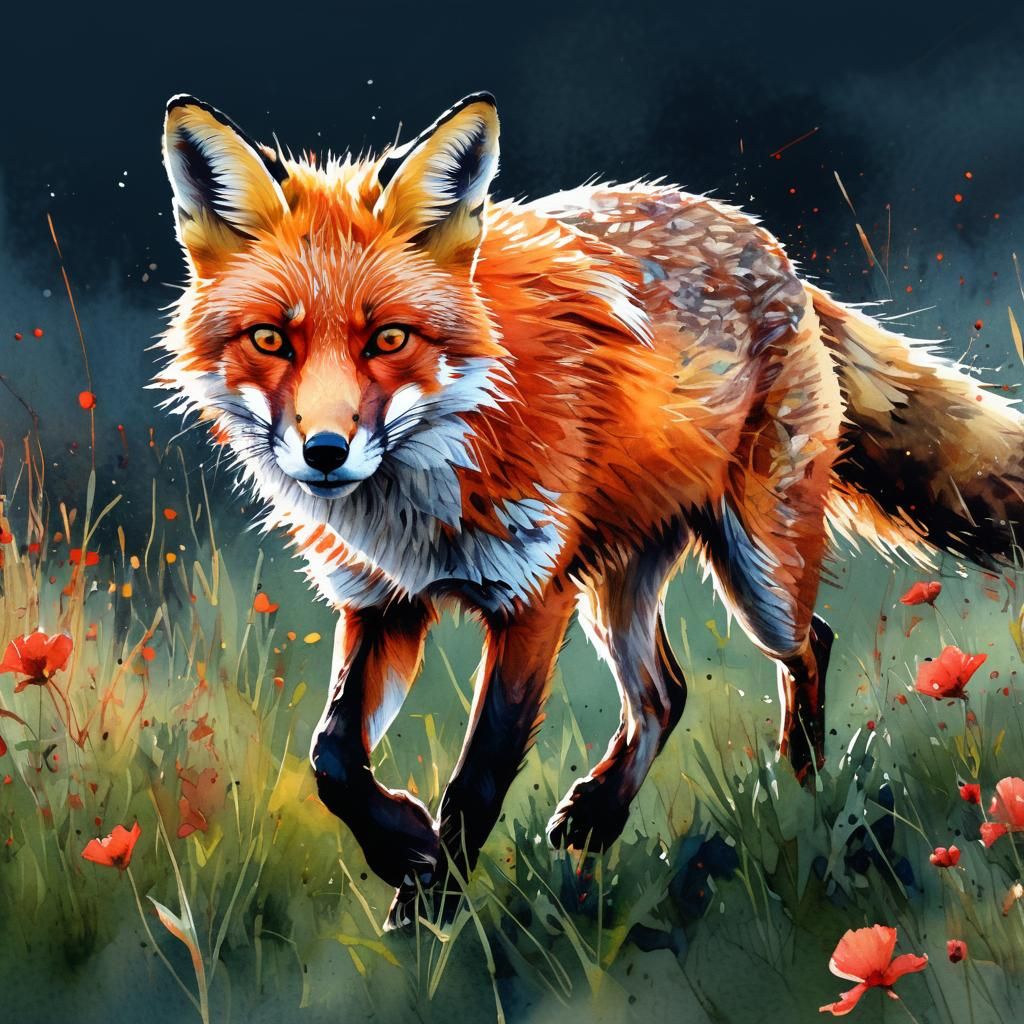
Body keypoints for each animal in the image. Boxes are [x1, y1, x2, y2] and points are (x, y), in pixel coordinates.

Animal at [159, 92, 1024, 928]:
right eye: (272, 340)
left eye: (390, 339)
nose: (326, 453)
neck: (424, 496)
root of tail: (771, 248)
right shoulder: (381, 601)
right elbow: (333, 758)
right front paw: (407, 852)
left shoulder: (530, 597)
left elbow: (478, 776)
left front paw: (431, 913)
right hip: (618, 586)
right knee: (666, 693)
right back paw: (602, 816)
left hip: (756, 576)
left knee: (810, 643)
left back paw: (802, 796)